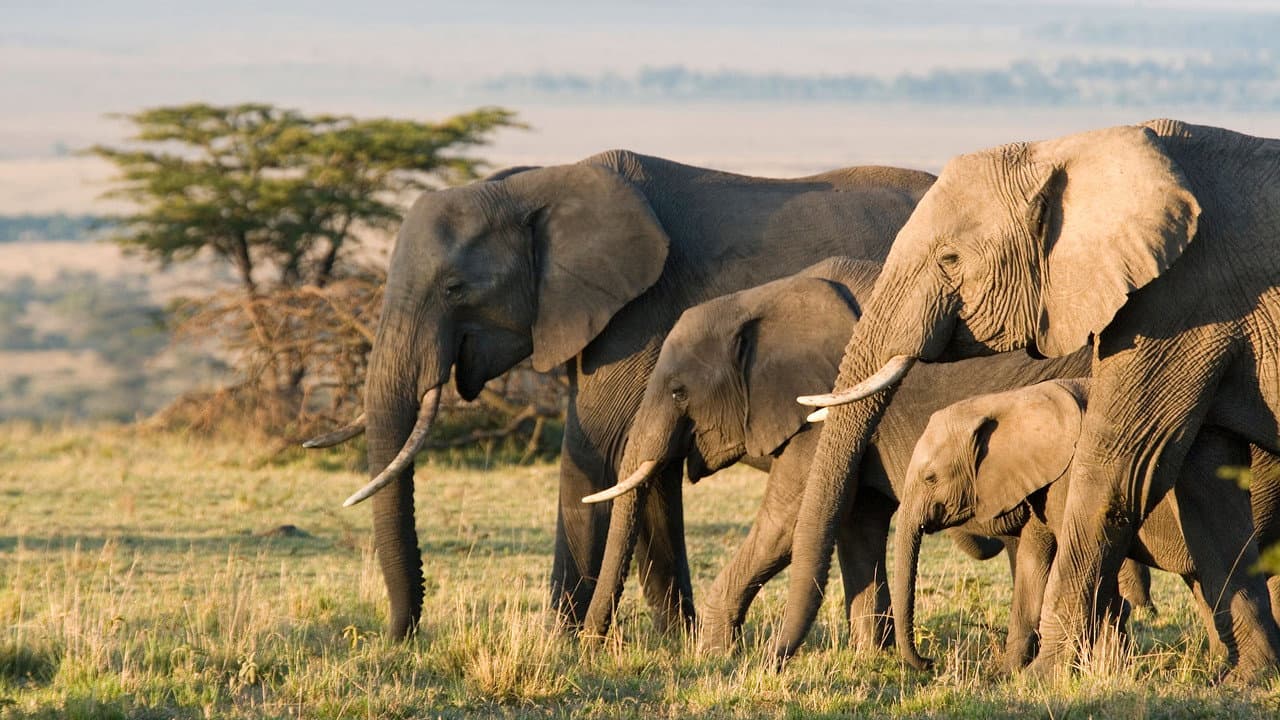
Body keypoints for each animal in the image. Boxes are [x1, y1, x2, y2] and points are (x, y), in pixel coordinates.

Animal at [305, 150, 937, 638]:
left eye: (455, 289)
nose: (400, 636)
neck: (536, 186)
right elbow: (645, 471)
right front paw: (674, 642)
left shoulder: (637, 315)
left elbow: (597, 453)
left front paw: (558, 644)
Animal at [578, 256, 1113, 649]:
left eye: (678, 393)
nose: (591, 645)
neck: (764, 297)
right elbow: (858, 524)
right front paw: (872, 658)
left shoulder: (822, 410)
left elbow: (787, 523)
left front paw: (716, 656)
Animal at [892, 378, 1280, 677]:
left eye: (930, 478)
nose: (929, 662)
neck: (1010, 400)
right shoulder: (1043, 482)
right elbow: (1033, 564)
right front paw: (1004, 674)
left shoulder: (1071, 475)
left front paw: (1105, 670)